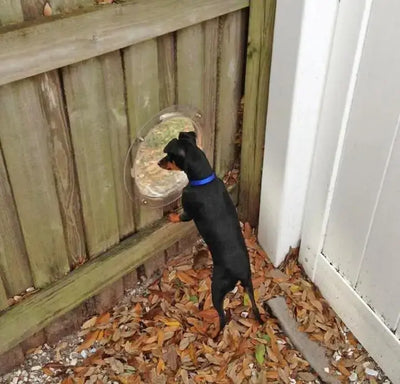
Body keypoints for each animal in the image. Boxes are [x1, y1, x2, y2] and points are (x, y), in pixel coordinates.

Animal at [158, 131, 264, 332]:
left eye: (169, 156)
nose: (159, 163)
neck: (203, 180)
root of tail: (241, 273)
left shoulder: (188, 211)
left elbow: (181, 217)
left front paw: (171, 216)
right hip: (250, 285)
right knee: (254, 306)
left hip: (217, 289)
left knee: (223, 317)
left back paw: (214, 332)